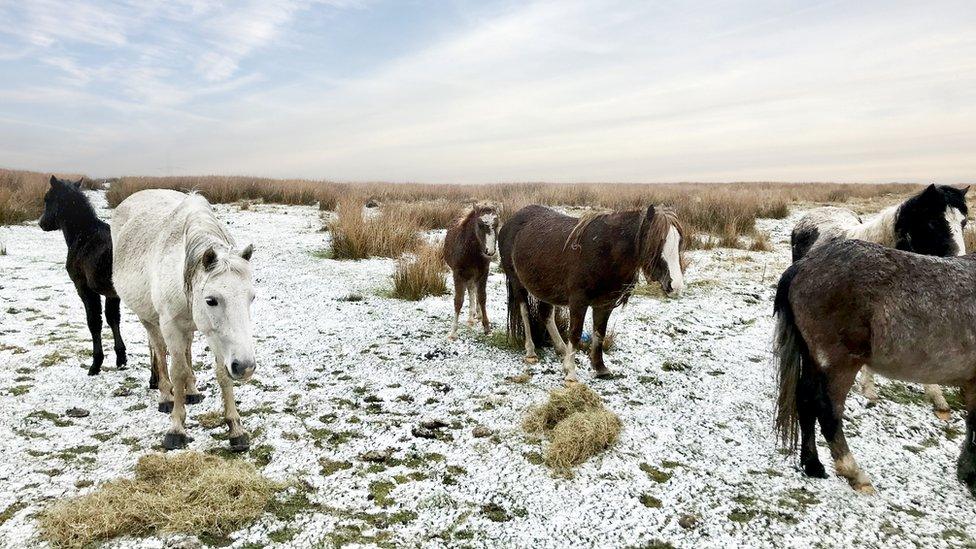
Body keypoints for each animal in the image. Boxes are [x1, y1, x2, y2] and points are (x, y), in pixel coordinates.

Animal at [38, 178, 127, 374]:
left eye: (47, 198)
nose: (42, 223)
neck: (85, 237)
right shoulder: (112, 293)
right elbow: (113, 318)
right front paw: (121, 358)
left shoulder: (84, 286)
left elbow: (94, 321)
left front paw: (96, 364)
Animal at [113, 188, 258, 450]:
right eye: (211, 300)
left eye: (251, 297)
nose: (245, 367)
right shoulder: (171, 326)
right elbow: (177, 370)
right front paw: (176, 428)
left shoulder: (213, 335)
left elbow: (221, 373)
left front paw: (235, 428)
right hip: (149, 319)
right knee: (159, 350)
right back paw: (165, 395)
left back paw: (191, 391)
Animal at [444, 203, 500, 336]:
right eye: (480, 224)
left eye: (496, 224)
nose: (490, 251)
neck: (470, 251)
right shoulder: (458, 273)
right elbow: (458, 300)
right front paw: (453, 332)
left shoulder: (484, 272)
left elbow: (482, 297)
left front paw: (486, 326)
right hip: (468, 274)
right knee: (470, 289)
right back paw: (471, 317)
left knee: (474, 290)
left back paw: (476, 315)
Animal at [504, 204, 688, 382]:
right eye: (657, 242)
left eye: (679, 242)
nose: (676, 285)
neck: (606, 251)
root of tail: (511, 219)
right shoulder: (578, 301)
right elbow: (575, 333)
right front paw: (570, 372)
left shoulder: (605, 304)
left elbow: (599, 333)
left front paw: (600, 368)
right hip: (517, 282)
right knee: (525, 312)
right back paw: (531, 351)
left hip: (545, 288)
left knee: (546, 314)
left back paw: (561, 349)